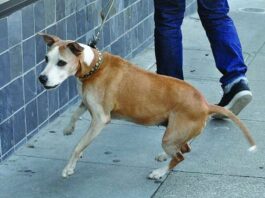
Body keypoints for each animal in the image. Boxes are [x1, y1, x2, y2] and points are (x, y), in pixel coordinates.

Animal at [37, 33, 256, 179]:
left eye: (61, 63)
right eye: (46, 59)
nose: (41, 78)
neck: (93, 68)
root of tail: (205, 104)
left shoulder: (100, 119)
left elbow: (77, 146)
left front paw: (69, 167)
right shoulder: (86, 102)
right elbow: (76, 112)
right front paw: (68, 128)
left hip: (170, 136)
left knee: (180, 157)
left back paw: (159, 172)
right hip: (176, 133)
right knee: (185, 148)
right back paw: (164, 156)